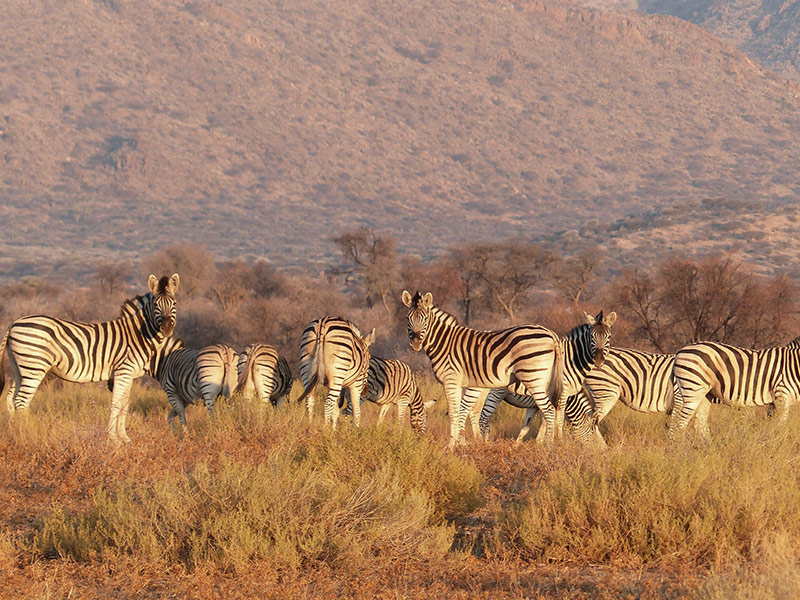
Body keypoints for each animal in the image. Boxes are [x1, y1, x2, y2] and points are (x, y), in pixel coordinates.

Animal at [1, 274, 180, 442]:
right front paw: (114, 439)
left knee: (10, 398)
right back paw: (27, 436)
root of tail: (13, 323)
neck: (139, 334)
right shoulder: (123, 371)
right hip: (34, 366)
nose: (166, 328)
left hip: (20, 367)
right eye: (156, 304)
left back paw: (13, 433)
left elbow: (125, 404)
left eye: (174, 304)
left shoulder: (129, 375)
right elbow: (117, 403)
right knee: (21, 401)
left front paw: (124, 438)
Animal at [400, 290, 568, 450]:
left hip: (533, 378)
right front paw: (459, 443)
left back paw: (548, 446)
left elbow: (454, 412)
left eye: (425, 319)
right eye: (408, 318)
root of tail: (551, 334)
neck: (445, 342)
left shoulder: (450, 380)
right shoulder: (460, 383)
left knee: (549, 410)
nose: (416, 343)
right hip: (546, 381)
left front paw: (451, 446)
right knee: (552, 410)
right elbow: (460, 411)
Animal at [476, 314, 620, 446]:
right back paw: (480, 443)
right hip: (495, 391)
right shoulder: (561, 395)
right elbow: (555, 420)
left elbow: (529, 426)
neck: (571, 361)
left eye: (609, 337)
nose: (599, 361)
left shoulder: (536, 404)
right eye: (591, 431)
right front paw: (554, 442)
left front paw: (532, 445)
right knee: (480, 414)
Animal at [668, 338, 800, 440]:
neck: (794, 365)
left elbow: (772, 423)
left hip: (705, 394)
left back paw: (708, 449)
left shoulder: (774, 401)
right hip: (692, 389)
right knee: (680, 423)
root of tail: (680, 351)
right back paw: (678, 450)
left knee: (699, 422)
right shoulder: (781, 395)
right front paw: (777, 443)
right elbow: (780, 426)